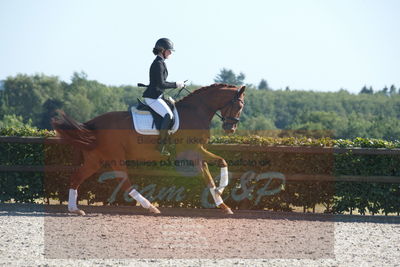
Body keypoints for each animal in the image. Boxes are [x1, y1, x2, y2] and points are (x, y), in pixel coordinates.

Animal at [51, 83, 245, 216]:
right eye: (239, 106)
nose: (231, 129)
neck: (196, 112)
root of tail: (93, 123)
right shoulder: (193, 150)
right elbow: (215, 169)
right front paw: (222, 196)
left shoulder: (198, 152)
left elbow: (214, 170)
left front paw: (222, 200)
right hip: (115, 156)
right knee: (124, 181)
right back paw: (149, 206)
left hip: (95, 159)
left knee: (77, 177)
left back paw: (74, 209)